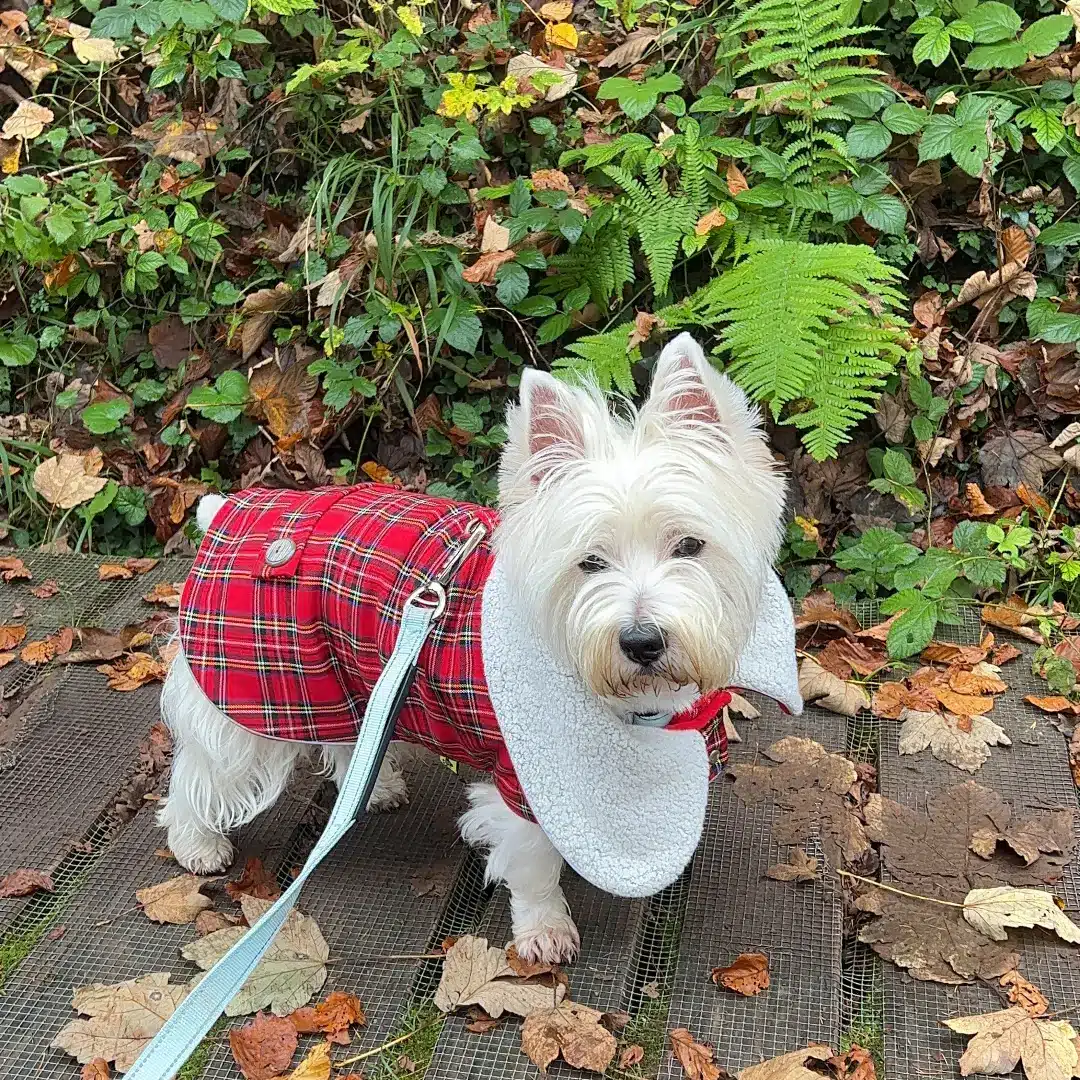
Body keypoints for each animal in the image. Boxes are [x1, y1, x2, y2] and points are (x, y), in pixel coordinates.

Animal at [156, 334, 790, 963]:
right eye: (589, 562)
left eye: (690, 545)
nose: (642, 642)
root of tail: (227, 512)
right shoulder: (522, 777)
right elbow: (533, 861)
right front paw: (544, 930)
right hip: (252, 691)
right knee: (203, 771)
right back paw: (197, 843)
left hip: (345, 677)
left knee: (347, 737)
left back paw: (373, 786)